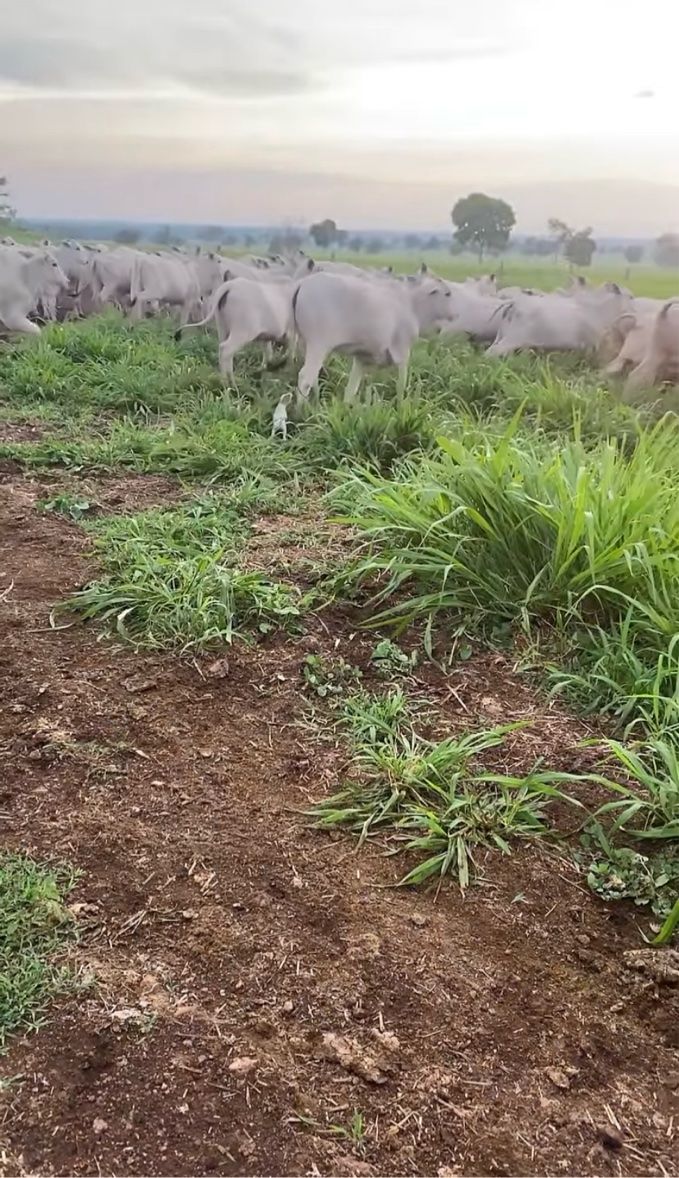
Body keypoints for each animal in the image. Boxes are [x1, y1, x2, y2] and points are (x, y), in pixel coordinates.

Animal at [291, 271, 455, 400]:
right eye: (447, 294)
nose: (454, 315)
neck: (412, 304)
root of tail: (302, 283)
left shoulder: (361, 357)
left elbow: (351, 389)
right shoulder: (403, 352)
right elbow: (401, 386)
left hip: (305, 343)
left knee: (312, 378)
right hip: (318, 344)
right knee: (305, 378)